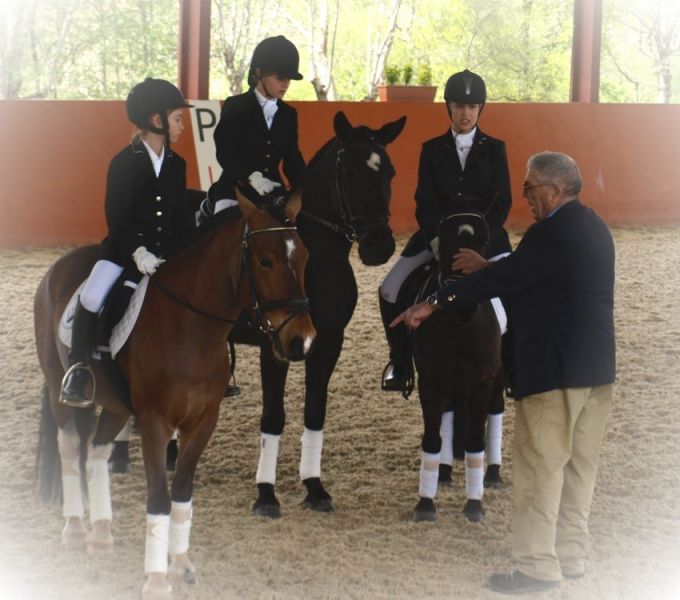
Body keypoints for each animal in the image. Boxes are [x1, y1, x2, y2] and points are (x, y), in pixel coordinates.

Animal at [34, 191, 316, 596]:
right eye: (266, 260)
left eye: (305, 257)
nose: (302, 341)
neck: (191, 328)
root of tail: (58, 266)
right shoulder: (155, 423)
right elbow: (159, 498)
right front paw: (155, 581)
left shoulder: (203, 421)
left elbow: (182, 492)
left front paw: (180, 566)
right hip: (60, 386)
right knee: (70, 446)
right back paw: (74, 529)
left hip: (117, 405)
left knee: (97, 449)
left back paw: (101, 534)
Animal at [231, 111, 406, 516]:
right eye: (350, 173)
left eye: (390, 172)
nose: (379, 246)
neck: (315, 263)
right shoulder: (274, 345)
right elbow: (273, 416)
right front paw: (266, 494)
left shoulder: (328, 342)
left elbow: (315, 411)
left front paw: (314, 487)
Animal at [406, 204, 502, 524]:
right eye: (445, 243)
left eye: (484, 243)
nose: (459, 300)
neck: (459, 329)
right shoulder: (430, 382)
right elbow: (432, 439)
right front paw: (425, 504)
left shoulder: (482, 383)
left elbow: (474, 442)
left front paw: (474, 505)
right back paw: (444, 472)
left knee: (496, 412)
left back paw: (493, 474)